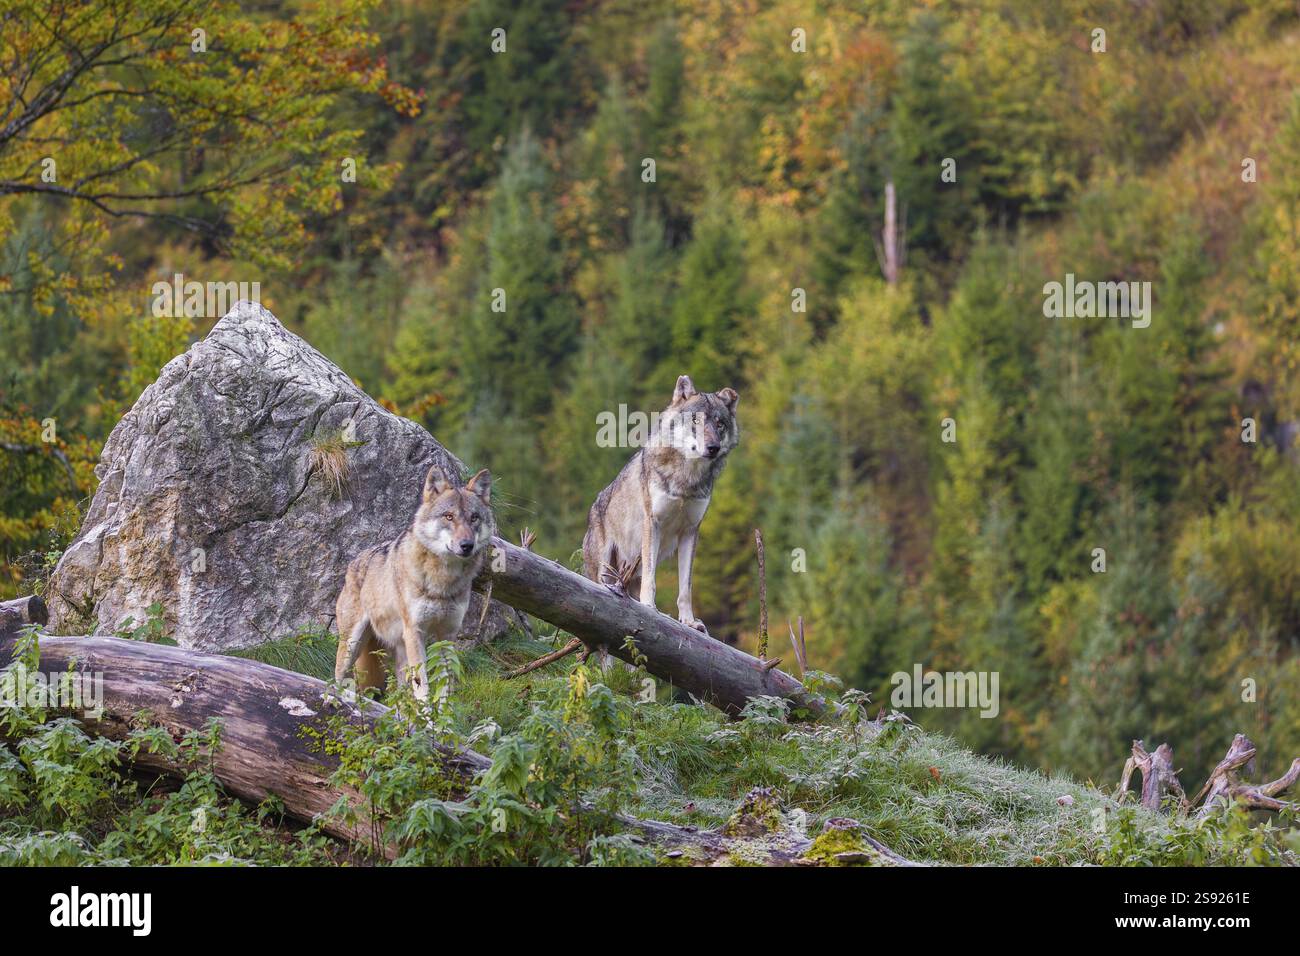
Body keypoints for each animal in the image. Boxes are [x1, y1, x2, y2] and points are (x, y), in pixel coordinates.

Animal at [334, 465, 494, 700]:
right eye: (449, 516)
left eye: (474, 518)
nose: (467, 545)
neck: (442, 582)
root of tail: (354, 562)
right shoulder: (415, 631)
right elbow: (423, 685)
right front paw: (426, 711)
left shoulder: (447, 634)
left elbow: (445, 685)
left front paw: (442, 711)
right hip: (352, 646)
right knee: (337, 678)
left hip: (398, 652)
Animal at [582, 375, 739, 631]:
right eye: (695, 419)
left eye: (720, 424)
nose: (713, 448)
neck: (686, 478)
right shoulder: (652, 523)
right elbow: (651, 577)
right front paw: (649, 607)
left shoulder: (690, 532)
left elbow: (685, 588)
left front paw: (688, 621)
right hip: (604, 571)